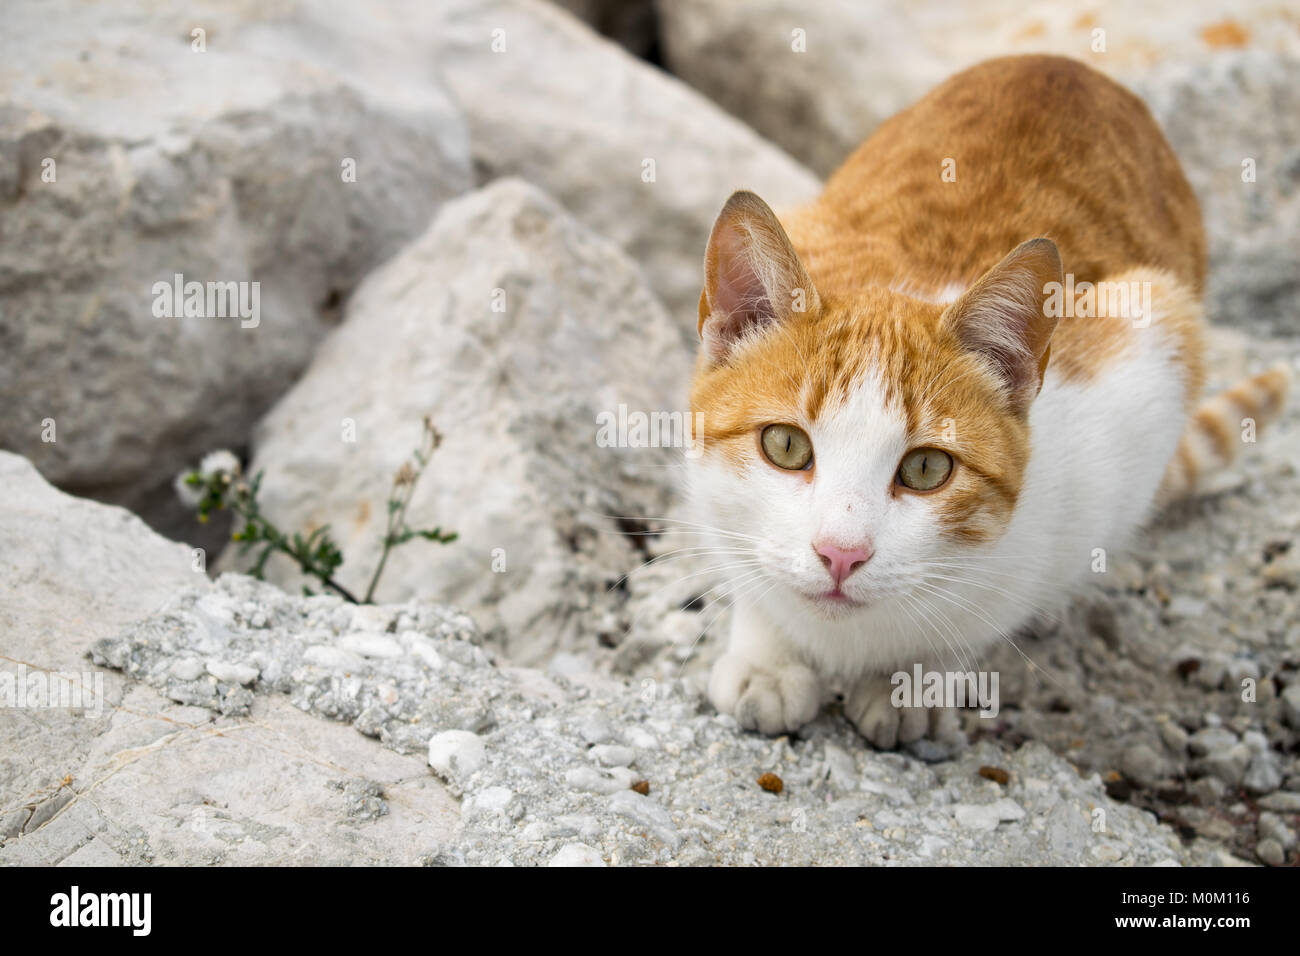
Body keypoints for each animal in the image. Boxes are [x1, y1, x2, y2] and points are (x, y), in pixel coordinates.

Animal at [691, 54, 1289, 749]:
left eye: (926, 468)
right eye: (785, 446)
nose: (842, 554)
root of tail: (1066, 66)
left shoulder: (1143, 366)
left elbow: (984, 613)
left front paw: (916, 682)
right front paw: (767, 656)